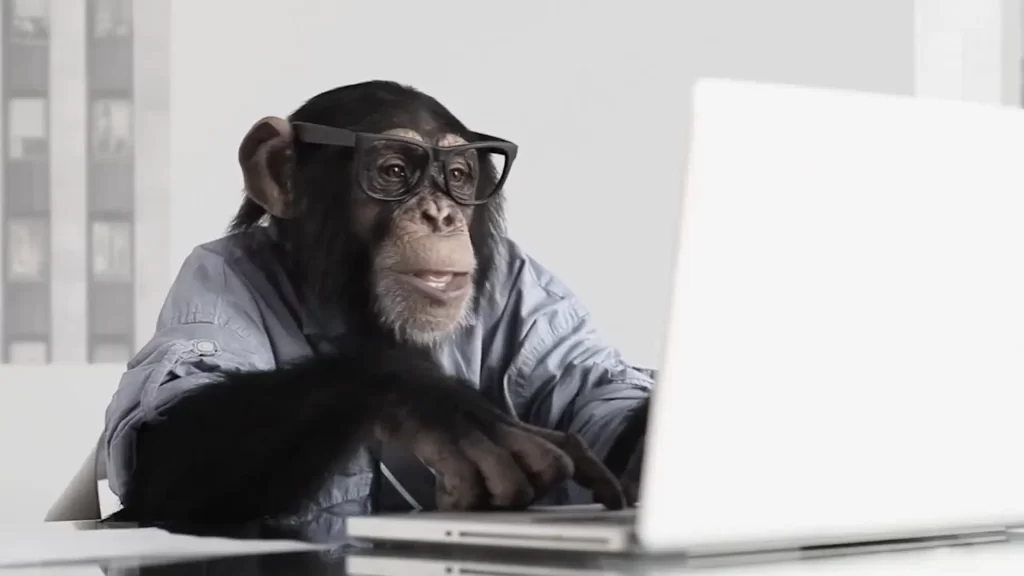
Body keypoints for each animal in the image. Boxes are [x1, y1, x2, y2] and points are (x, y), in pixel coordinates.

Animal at [102, 81, 653, 531]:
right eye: (395, 170)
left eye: (458, 174)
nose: (441, 214)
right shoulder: (212, 281)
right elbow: (159, 439)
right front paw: (441, 406)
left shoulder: (535, 289)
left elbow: (604, 394)